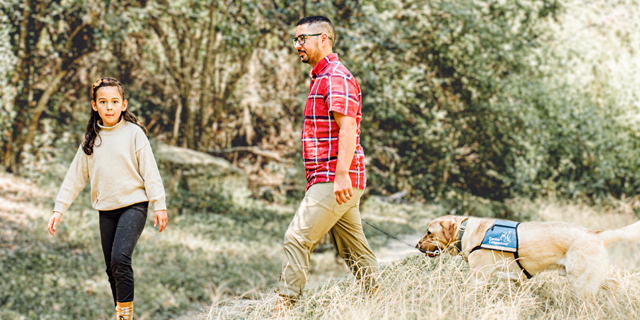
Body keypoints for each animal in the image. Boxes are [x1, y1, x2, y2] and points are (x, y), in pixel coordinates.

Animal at [416, 215, 640, 300]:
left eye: (429, 232)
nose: (416, 245)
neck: (465, 231)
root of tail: (597, 233)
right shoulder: (517, 282)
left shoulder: (477, 278)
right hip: (585, 277)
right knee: (614, 283)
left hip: (580, 283)